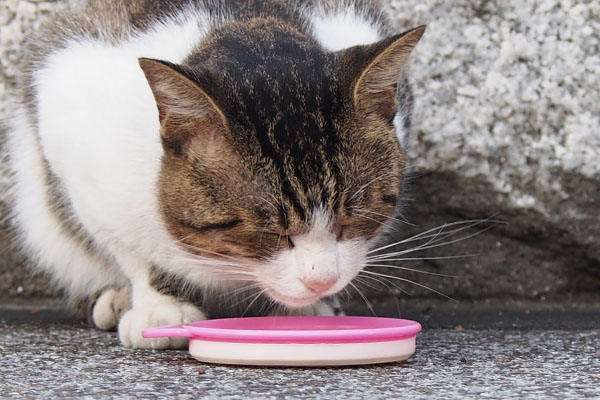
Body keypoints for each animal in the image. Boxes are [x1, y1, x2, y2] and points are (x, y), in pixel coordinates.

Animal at [7, 0, 424, 348]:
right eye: (269, 232)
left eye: (354, 216)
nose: (321, 280)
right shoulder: (73, 135)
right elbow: (134, 250)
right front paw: (163, 308)